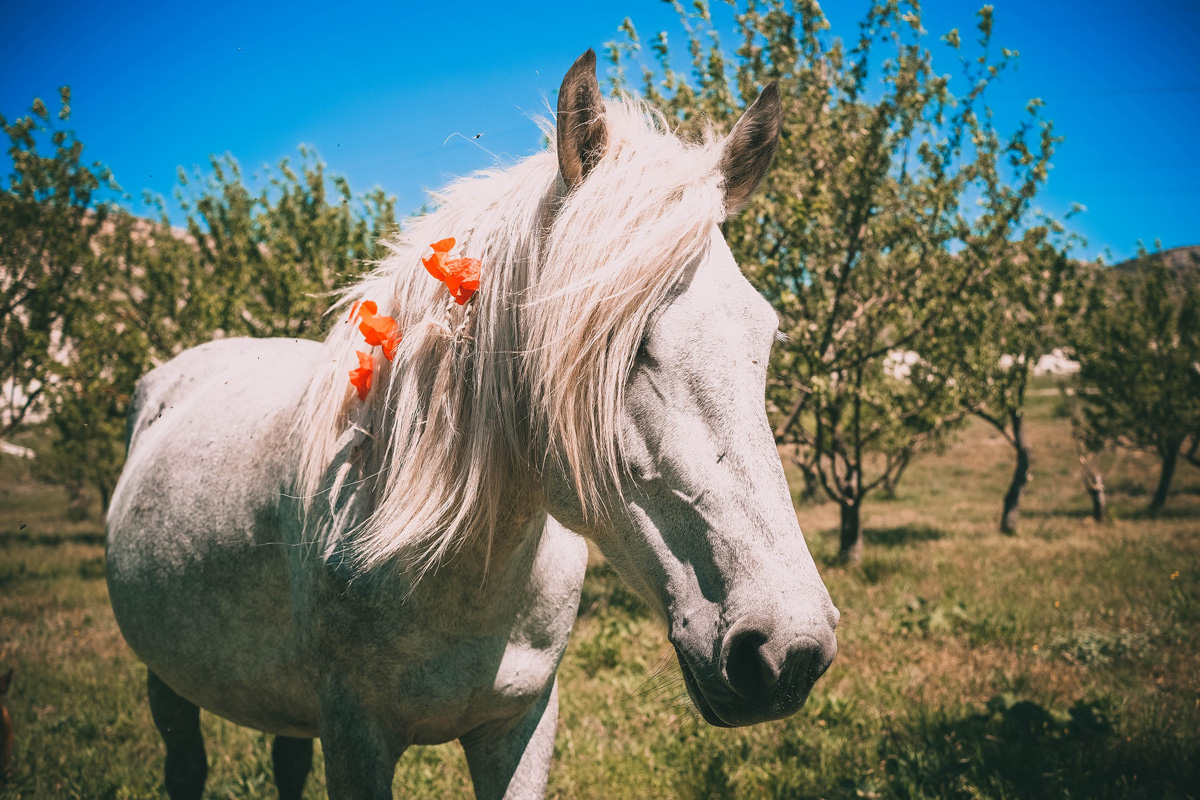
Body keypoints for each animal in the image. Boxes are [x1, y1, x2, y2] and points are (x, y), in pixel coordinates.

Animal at [105, 51, 835, 800]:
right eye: (616, 348)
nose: (788, 652)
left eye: (764, 339)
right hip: (166, 680)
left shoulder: (520, 724)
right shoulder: (355, 736)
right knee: (186, 765)